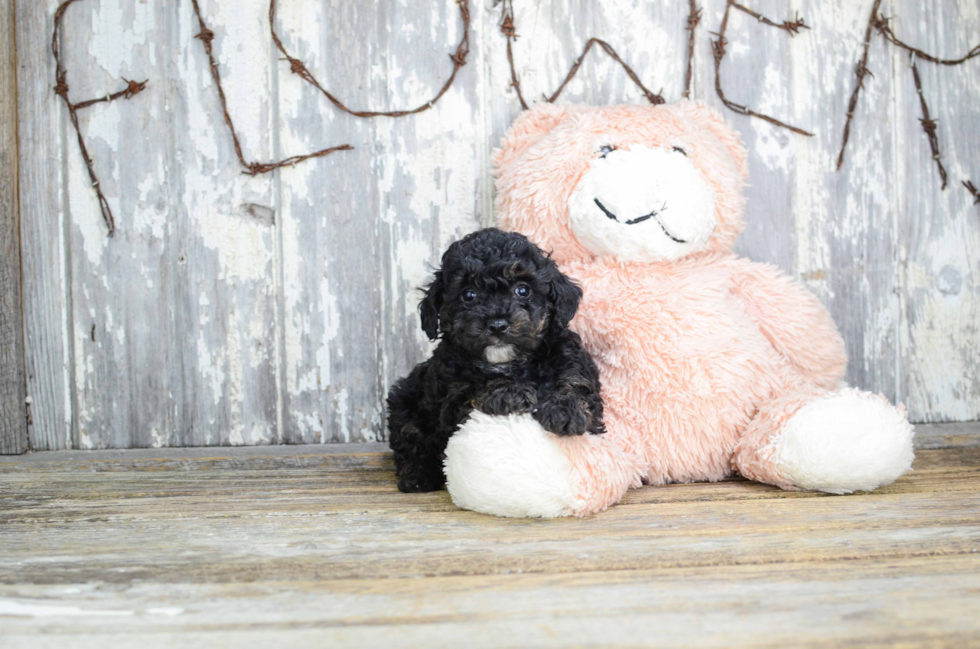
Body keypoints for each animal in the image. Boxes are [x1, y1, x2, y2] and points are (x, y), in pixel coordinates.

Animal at [384, 228, 600, 492]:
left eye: (522, 290)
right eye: (468, 295)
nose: (497, 324)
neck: (512, 363)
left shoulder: (570, 359)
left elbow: (575, 381)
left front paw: (567, 409)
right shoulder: (452, 394)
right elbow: (474, 388)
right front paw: (508, 392)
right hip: (405, 401)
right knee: (410, 441)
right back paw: (417, 476)